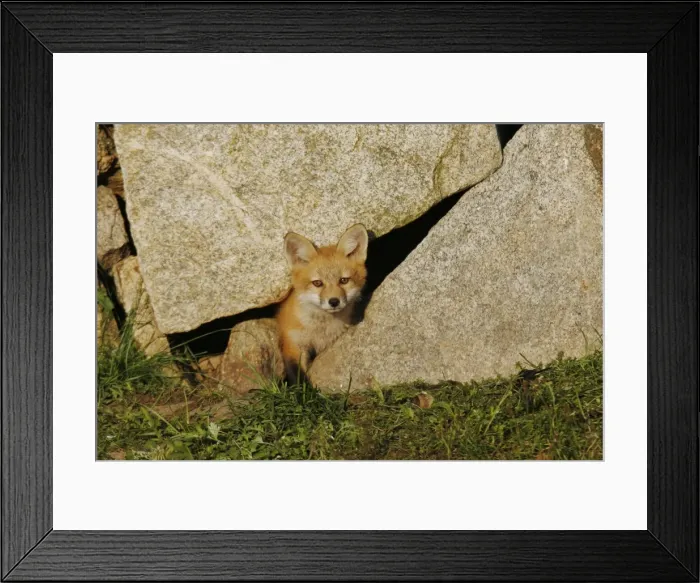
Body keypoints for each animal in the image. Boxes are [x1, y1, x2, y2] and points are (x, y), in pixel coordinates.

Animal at [276, 223, 369, 385]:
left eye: (344, 280)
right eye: (318, 283)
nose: (334, 301)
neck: (320, 330)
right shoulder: (293, 345)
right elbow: (299, 379)